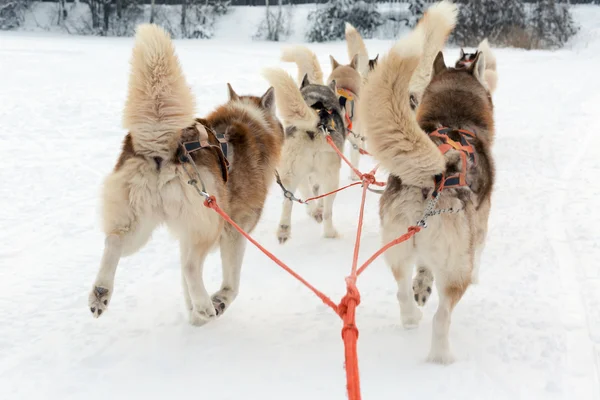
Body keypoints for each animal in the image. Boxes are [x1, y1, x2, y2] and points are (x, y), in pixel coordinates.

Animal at [88, 24, 284, 324]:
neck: (251, 122)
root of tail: (165, 146)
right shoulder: (235, 230)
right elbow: (231, 283)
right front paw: (214, 304)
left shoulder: (186, 234)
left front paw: (194, 317)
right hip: (209, 223)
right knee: (192, 265)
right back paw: (205, 304)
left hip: (138, 225)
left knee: (113, 241)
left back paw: (101, 292)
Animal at [264, 68, 346, 242]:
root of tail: (316, 124)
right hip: (331, 178)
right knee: (327, 211)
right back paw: (329, 231)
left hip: (290, 173)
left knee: (289, 200)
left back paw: (285, 229)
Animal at [358, 0, 494, 362]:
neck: (454, 117)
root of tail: (434, 177)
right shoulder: (482, 222)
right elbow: (480, 248)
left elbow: (420, 273)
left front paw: (422, 284)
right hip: (455, 268)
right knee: (442, 316)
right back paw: (441, 356)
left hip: (397, 246)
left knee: (402, 291)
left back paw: (409, 318)